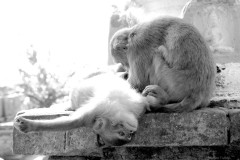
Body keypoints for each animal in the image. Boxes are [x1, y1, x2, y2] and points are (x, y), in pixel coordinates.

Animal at [14, 72, 149, 146]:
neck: (119, 109)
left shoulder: (137, 107)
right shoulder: (95, 112)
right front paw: (29, 125)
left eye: (129, 135)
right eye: (122, 134)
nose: (130, 133)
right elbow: (73, 122)